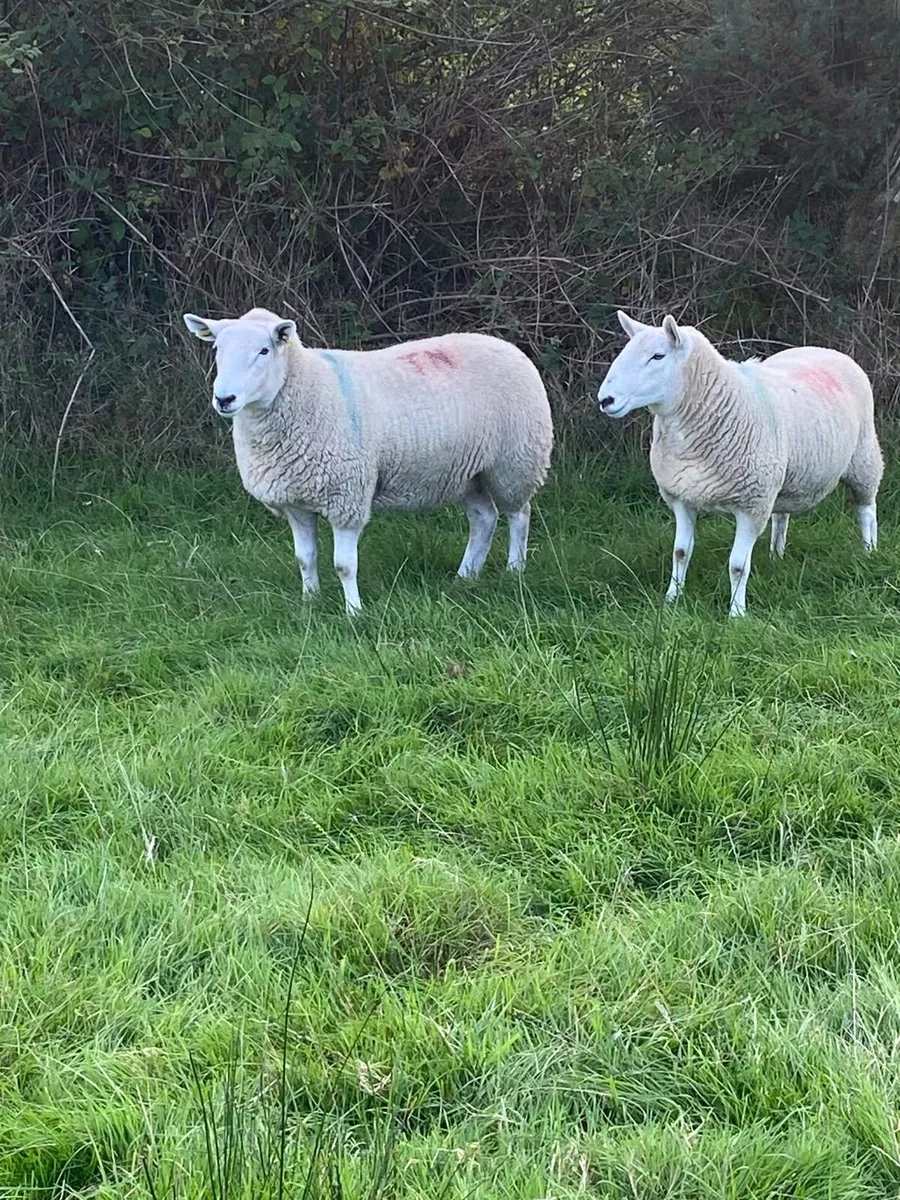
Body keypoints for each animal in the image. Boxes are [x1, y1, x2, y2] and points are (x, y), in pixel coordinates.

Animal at [183, 307, 554, 614]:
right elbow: (304, 559)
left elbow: (344, 565)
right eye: (217, 350)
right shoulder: (295, 502)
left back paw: (514, 571)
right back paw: (465, 577)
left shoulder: (347, 495)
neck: (308, 387)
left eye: (264, 350)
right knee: (484, 519)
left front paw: (354, 613)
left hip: (515, 462)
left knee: (519, 515)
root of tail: (505, 345)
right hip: (466, 473)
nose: (224, 399)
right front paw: (309, 603)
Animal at [596, 310, 884, 617]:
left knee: (866, 510)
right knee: (781, 516)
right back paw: (776, 555)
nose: (605, 400)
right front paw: (672, 599)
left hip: (864, 457)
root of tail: (824, 349)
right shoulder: (682, 498)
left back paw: (868, 552)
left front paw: (736, 613)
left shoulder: (751, 505)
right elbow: (680, 553)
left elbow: (737, 565)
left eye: (658, 356)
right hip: (784, 476)